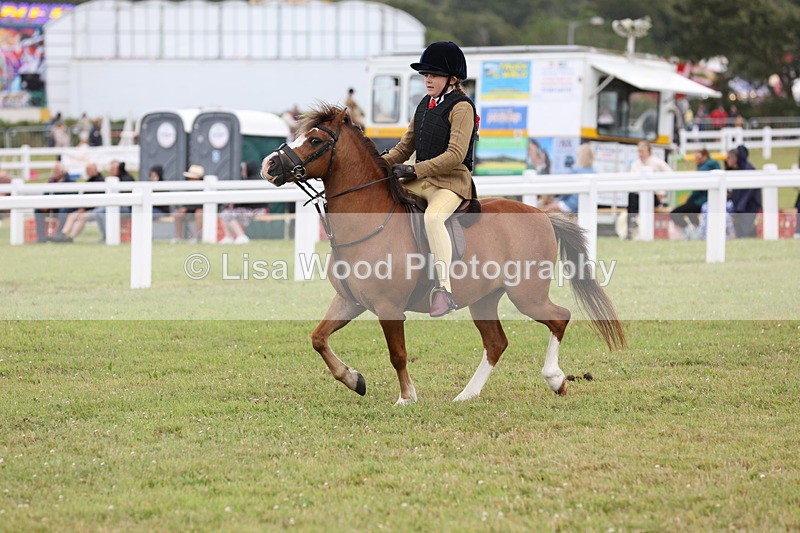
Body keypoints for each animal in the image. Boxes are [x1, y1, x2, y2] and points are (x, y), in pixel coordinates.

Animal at [261, 104, 625, 405]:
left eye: (314, 140)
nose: (269, 165)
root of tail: (542, 215)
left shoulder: (389, 308)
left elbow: (397, 354)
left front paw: (406, 398)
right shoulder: (350, 301)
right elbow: (318, 338)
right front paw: (354, 380)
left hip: (527, 296)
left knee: (559, 317)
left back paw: (555, 380)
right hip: (484, 299)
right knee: (496, 343)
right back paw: (467, 394)